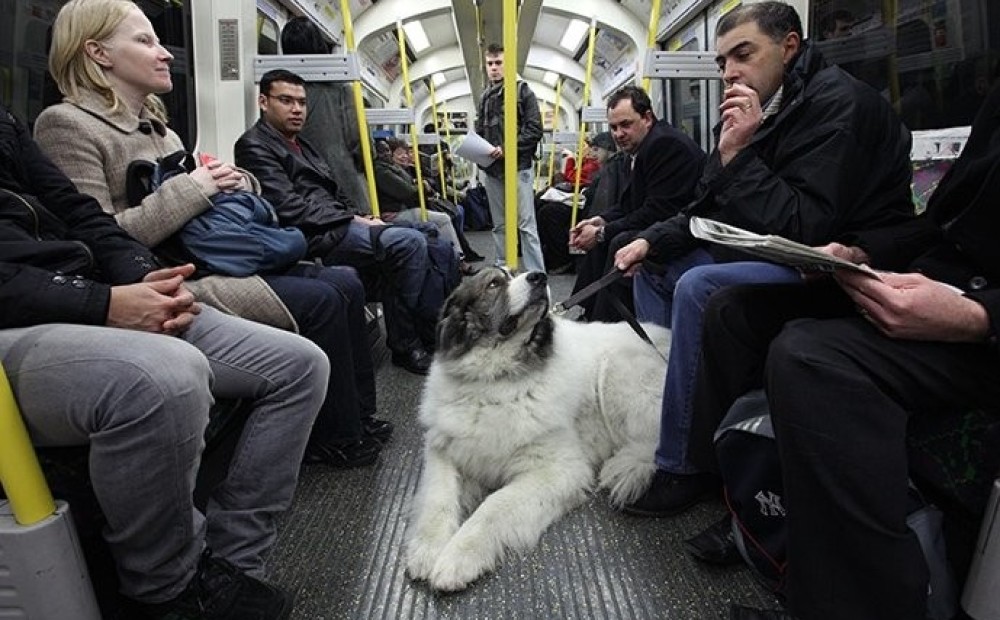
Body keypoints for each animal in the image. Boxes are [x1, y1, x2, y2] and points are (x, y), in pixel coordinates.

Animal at [402, 266, 668, 592]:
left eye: (519, 272)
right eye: (494, 283)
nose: (539, 276)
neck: (496, 380)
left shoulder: (558, 469)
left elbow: (494, 505)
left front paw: (457, 558)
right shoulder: (443, 450)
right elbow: (438, 498)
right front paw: (426, 550)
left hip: (617, 373)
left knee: (657, 441)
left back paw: (628, 466)